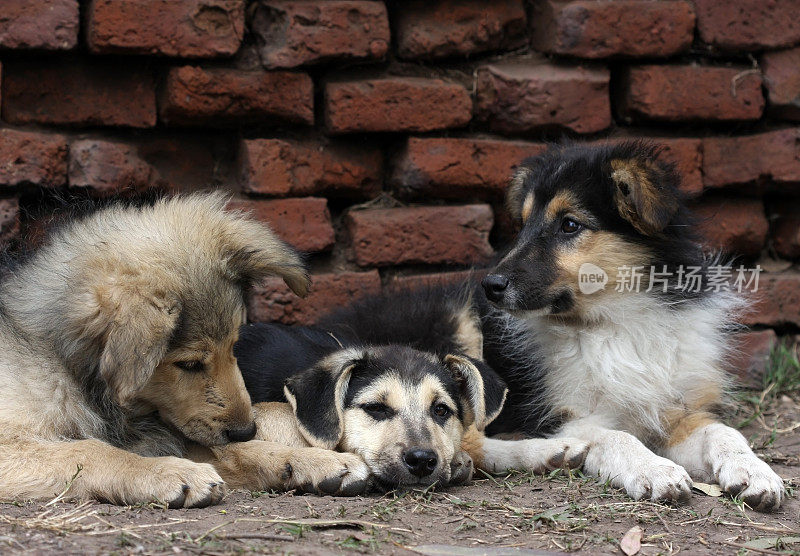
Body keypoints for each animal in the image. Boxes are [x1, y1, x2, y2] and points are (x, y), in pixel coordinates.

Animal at [0, 192, 372, 508]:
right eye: (189, 364)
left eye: (234, 344)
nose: (246, 429)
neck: (60, 357)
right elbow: (92, 451)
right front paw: (166, 472)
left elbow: (235, 452)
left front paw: (317, 461)